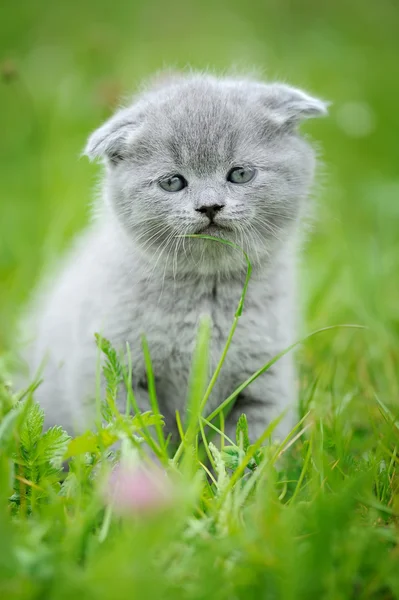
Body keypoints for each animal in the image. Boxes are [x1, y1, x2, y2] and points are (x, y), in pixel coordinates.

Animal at [21, 72, 326, 442]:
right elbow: (131, 438)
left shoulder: (266, 381)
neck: (205, 299)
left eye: (240, 174)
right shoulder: (111, 373)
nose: (210, 206)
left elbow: (250, 444)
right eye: (172, 182)